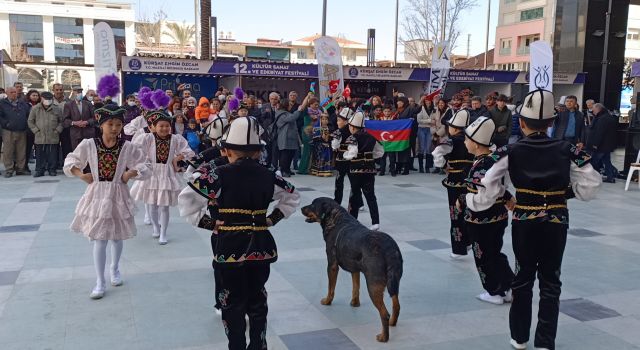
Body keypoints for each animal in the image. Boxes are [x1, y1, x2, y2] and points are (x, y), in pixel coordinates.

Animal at [302, 197, 402, 342]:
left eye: (313, 205)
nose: (301, 208)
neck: (336, 219)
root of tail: (390, 248)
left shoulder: (332, 265)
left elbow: (331, 288)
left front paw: (327, 301)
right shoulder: (355, 268)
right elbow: (356, 287)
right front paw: (355, 303)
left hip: (373, 284)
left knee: (384, 313)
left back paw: (384, 337)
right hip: (394, 280)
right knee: (396, 304)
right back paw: (392, 323)